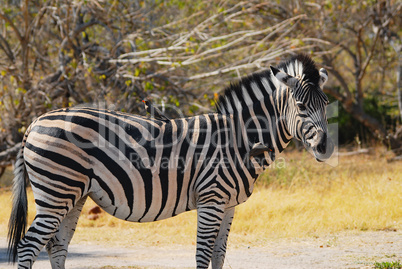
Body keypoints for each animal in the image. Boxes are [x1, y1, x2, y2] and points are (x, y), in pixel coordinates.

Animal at [7, 53, 334, 266]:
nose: (324, 148)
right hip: (57, 191)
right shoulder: (211, 200)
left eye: (326, 104)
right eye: (301, 106)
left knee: (56, 246)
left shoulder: (229, 205)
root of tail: (35, 122)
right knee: (29, 247)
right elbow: (203, 255)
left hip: (73, 195)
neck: (238, 139)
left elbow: (219, 256)